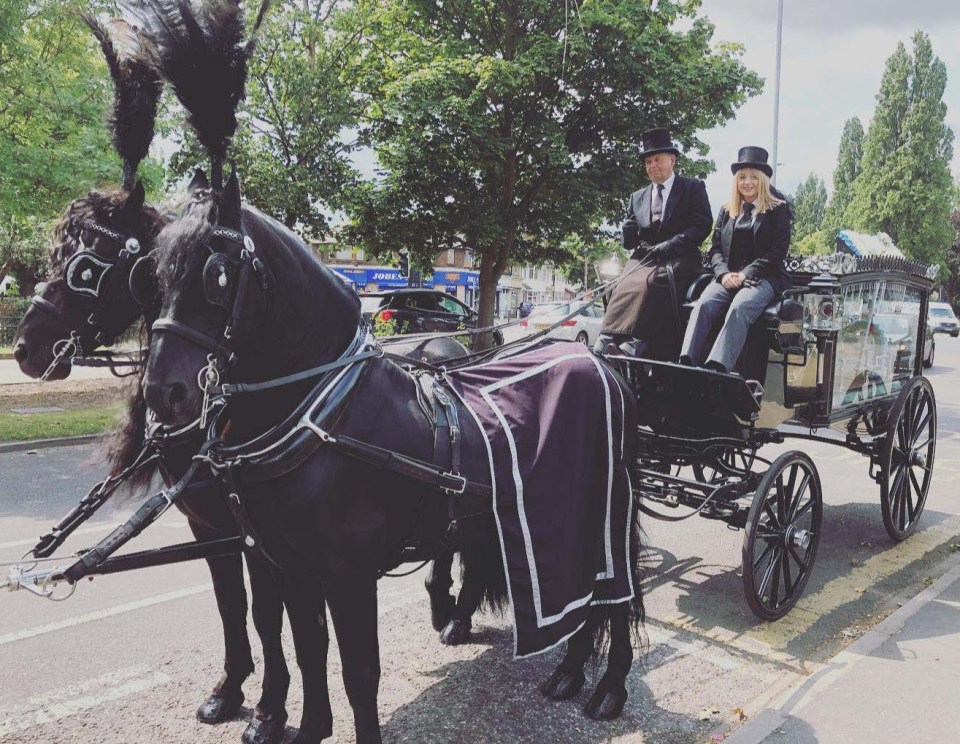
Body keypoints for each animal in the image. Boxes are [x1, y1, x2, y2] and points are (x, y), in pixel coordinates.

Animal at [137, 176, 644, 744]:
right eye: (154, 274)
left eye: (217, 276)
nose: (162, 392)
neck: (328, 411)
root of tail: (603, 362)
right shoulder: (288, 564)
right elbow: (308, 648)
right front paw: (308, 726)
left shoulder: (348, 575)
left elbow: (359, 672)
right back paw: (569, 670)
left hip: (605, 520)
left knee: (616, 599)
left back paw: (609, 688)